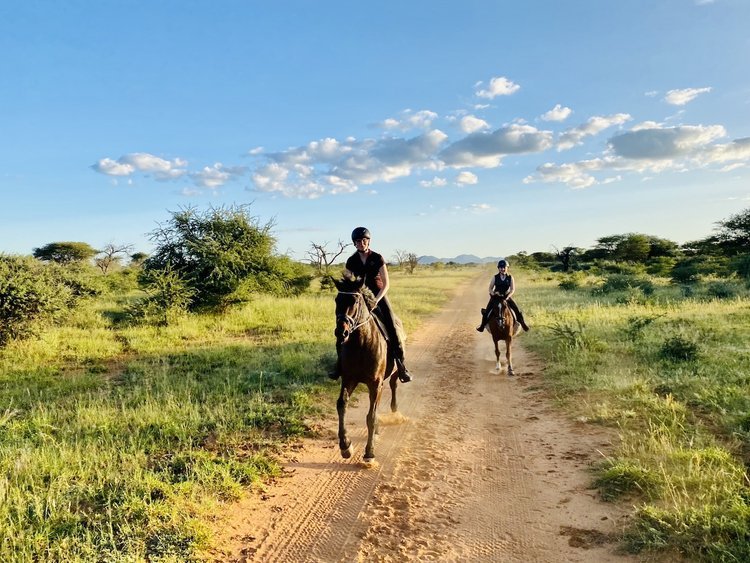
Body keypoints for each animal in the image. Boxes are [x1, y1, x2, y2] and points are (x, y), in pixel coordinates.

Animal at [336, 276, 402, 462]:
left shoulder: (375, 384)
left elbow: (371, 416)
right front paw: (345, 446)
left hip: (394, 373)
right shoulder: (349, 379)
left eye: (355, 301)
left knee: (394, 384)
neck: (361, 344)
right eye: (336, 300)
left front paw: (369, 453)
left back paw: (394, 409)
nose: (341, 332)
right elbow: (341, 404)